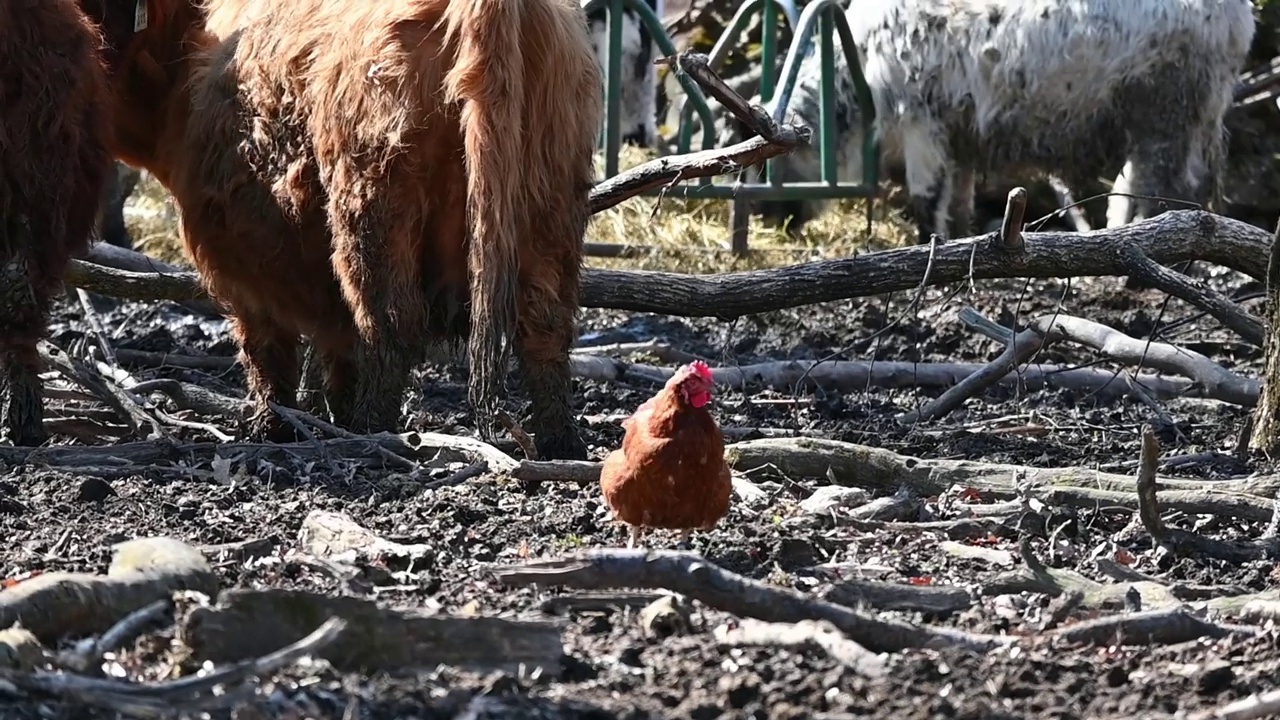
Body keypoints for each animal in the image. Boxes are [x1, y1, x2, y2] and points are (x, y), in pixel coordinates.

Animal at [88, 0, 599, 458]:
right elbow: (335, 344)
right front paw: (325, 412)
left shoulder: (237, 250)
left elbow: (267, 344)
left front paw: (272, 426)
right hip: (551, 200)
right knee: (546, 328)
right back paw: (560, 444)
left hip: (371, 205)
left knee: (391, 326)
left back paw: (372, 434)